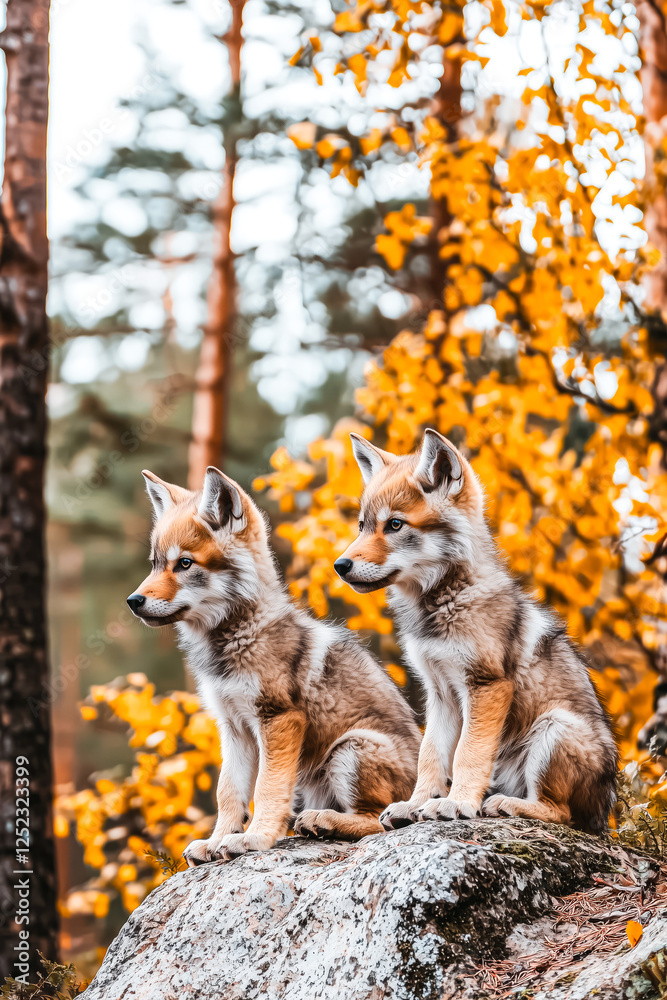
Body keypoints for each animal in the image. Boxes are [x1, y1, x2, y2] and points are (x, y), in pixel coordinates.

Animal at [126, 466, 420, 864]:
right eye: (156, 565)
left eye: (184, 564)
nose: (133, 600)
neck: (234, 640)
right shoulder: (233, 728)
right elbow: (228, 792)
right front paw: (217, 842)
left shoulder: (278, 719)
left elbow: (266, 788)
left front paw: (254, 838)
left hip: (349, 749)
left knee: (380, 819)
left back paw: (325, 822)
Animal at [334, 429, 618, 832]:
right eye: (363, 526)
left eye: (395, 525)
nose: (340, 565)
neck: (444, 604)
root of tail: (606, 814)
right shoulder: (438, 693)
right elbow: (431, 756)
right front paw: (416, 805)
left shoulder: (486, 686)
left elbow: (467, 753)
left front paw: (455, 804)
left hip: (554, 726)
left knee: (560, 813)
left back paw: (505, 804)